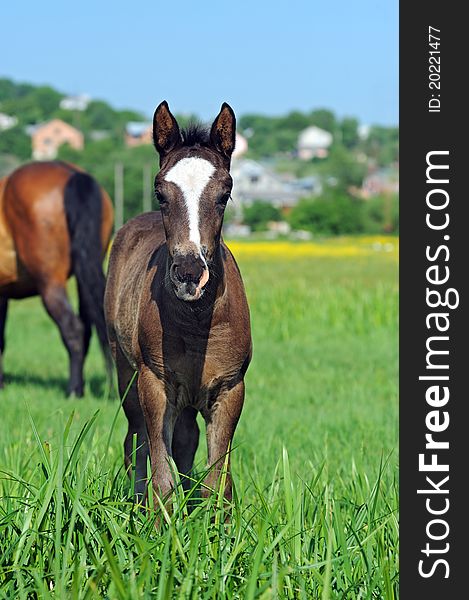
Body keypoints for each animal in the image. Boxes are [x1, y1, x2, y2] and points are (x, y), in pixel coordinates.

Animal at [0, 161, 113, 394]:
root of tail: (73, 174)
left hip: (50, 284)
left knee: (73, 329)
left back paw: (74, 391)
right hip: (84, 276)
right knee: (87, 329)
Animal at [105, 102, 252, 502]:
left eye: (224, 194)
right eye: (160, 193)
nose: (189, 272)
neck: (196, 321)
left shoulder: (230, 389)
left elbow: (219, 484)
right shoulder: (155, 384)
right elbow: (161, 475)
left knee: (186, 440)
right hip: (126, 375)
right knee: (135, 442)